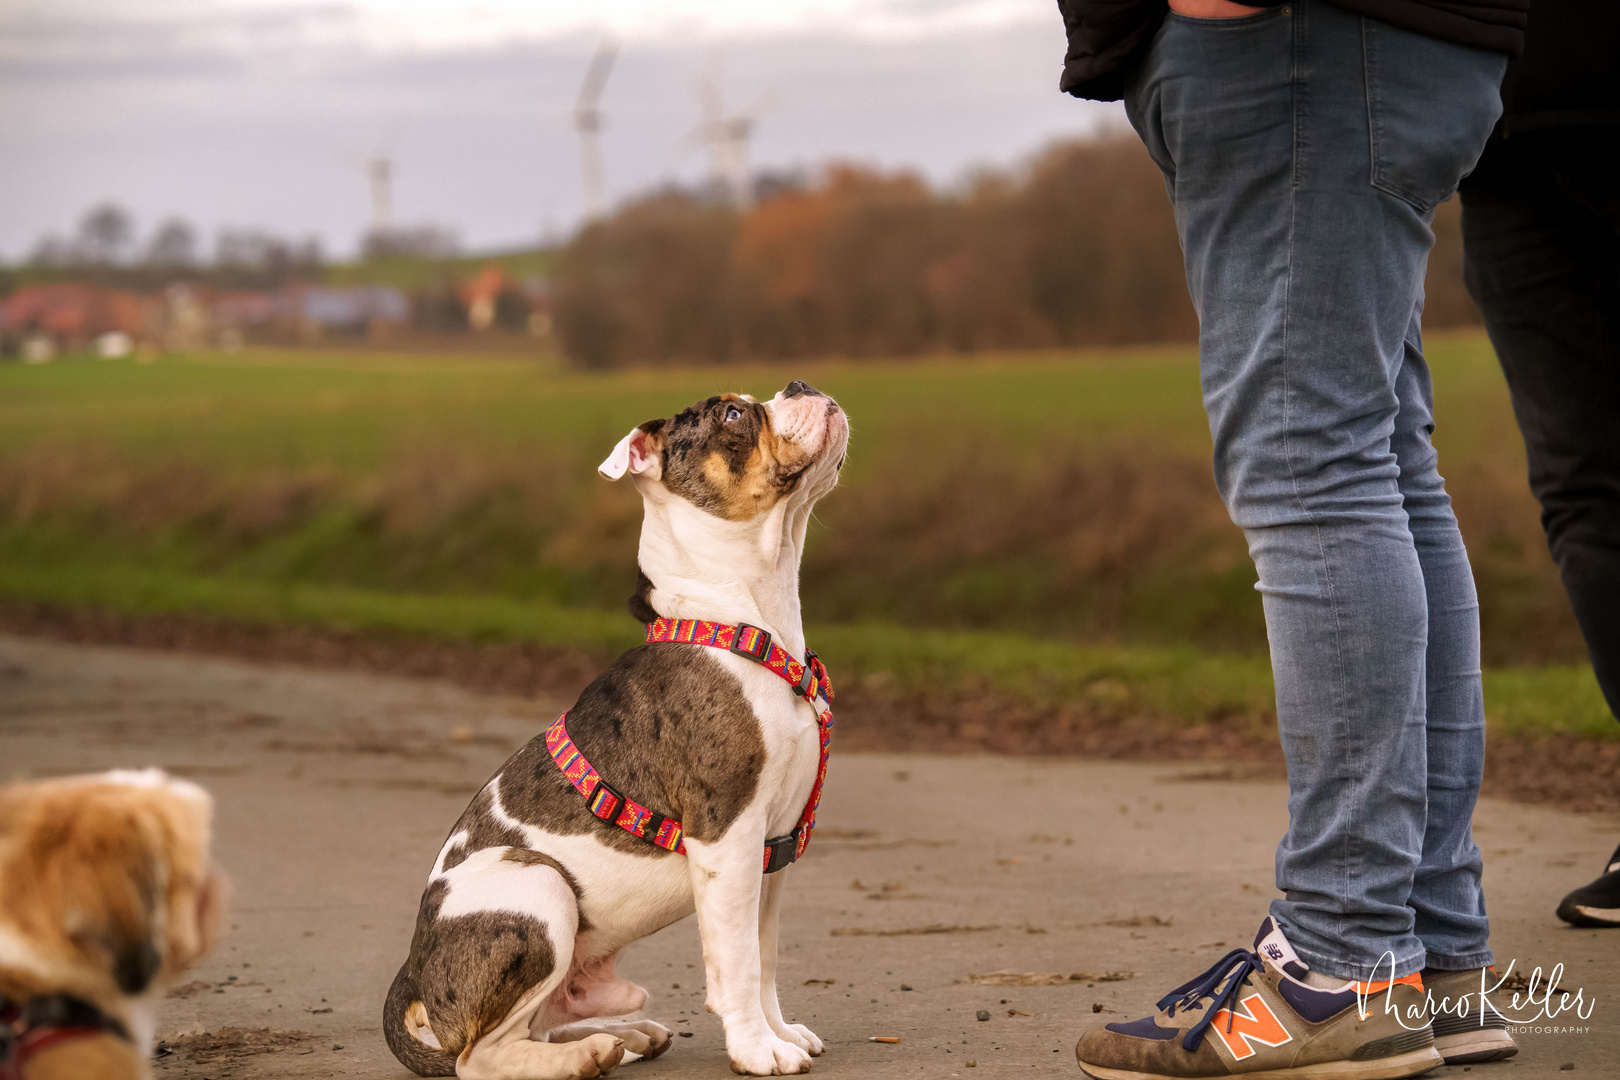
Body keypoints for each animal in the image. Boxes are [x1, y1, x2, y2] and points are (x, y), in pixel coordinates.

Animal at [387, 378, 855, 1075]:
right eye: (733, 414)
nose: (801, 385)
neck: (742, 619)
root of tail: (414, 973)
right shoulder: (727, 838)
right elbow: (738, 962)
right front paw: (755, 1050)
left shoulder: (773, 850)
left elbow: (764, 955)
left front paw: (779, 1033)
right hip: (536, 884)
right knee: (482, 1056)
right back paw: (589, 1054)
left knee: (534, 1028)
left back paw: (624, 1035)